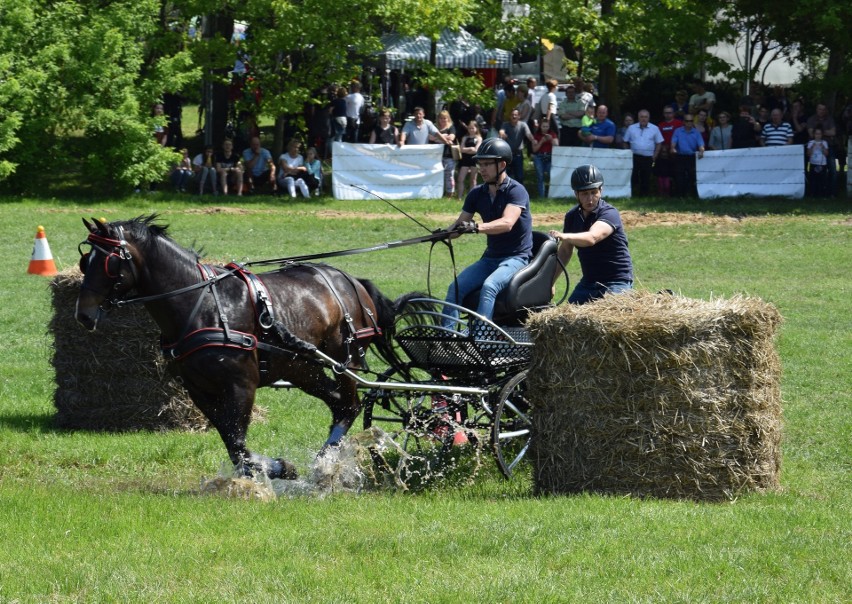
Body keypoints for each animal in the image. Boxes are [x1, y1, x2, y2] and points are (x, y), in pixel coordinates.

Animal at [75, 215, 398, 478]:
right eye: (84, 262)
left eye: (109, 263)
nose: (83, 314)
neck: (202, 303)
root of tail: (353, 281)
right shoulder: (198, 389)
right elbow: (232, 443)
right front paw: (269, 468)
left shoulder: (242, 384)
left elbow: (238, 441)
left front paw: (275, 468)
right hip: (301, 367)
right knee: (339, 403)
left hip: (345, 359)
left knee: (349, 405)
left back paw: (325, 462)